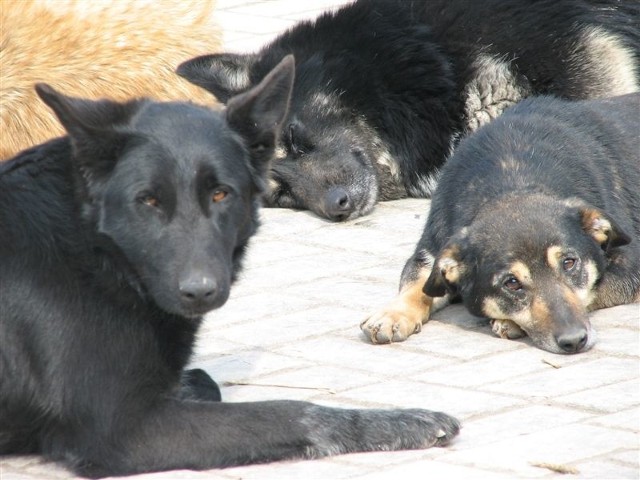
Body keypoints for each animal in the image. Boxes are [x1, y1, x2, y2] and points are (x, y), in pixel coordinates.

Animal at [0, 55, 460, 476]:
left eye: (221, 194)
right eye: (147, 200)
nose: (199, 290)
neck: (96, 251)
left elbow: (203, 379)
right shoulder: (123, 428)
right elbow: (292, 412)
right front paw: (405, 422)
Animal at [360, 94, 640, 354]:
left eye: (569, 263)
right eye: (511, 283)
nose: (574, 341)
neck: (513, 180)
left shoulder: (629, 268)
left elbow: (595, 288)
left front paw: (510, 322)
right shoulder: (429, 255)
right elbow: (416, 286)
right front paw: (393, 314)